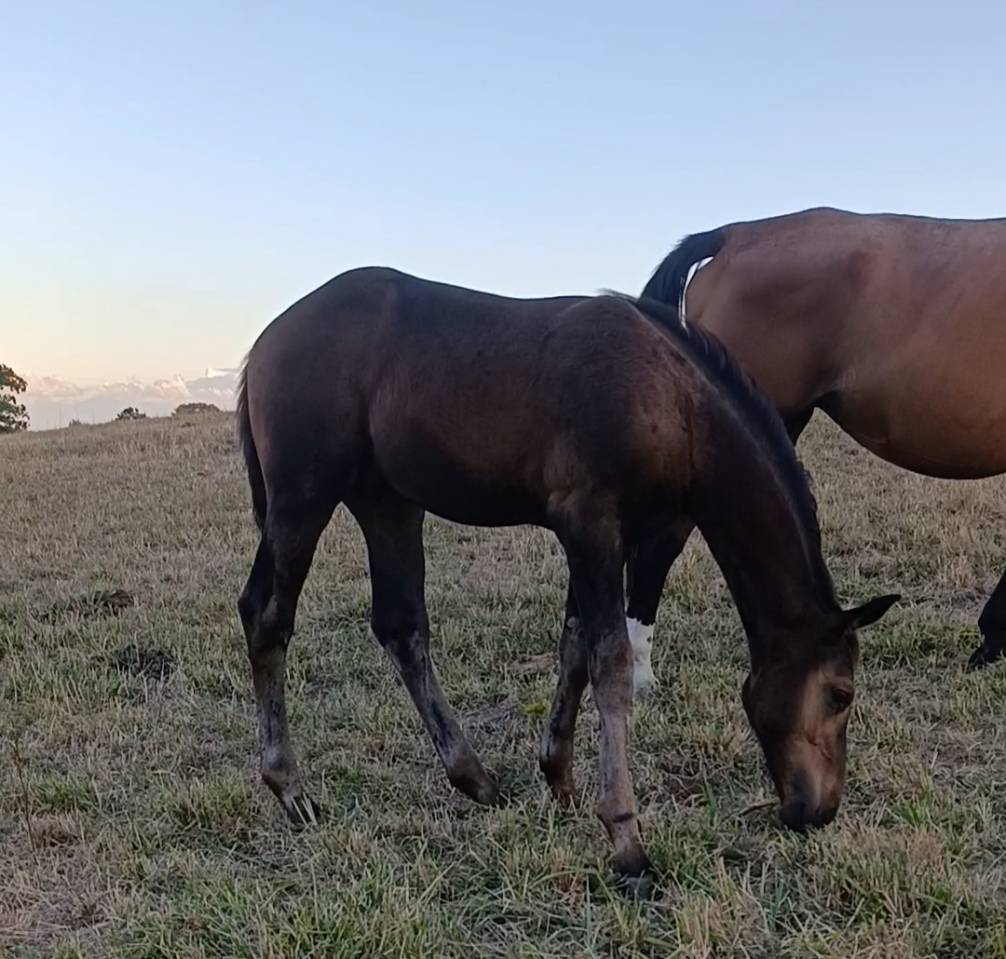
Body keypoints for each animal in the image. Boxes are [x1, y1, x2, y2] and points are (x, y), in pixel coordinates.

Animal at [236, 267, 896, 894]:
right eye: (841, 694)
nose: (818, 811)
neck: (670, 396)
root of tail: (266, 341)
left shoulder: (609, 538)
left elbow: (575, 647)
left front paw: (560, 779)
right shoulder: (590, 524)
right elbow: (611, 662)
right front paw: (627, 843)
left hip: (387, 503)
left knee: (399, 626)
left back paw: (474, 778)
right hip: (303, 497)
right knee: (268, 615)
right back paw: (290, 787)